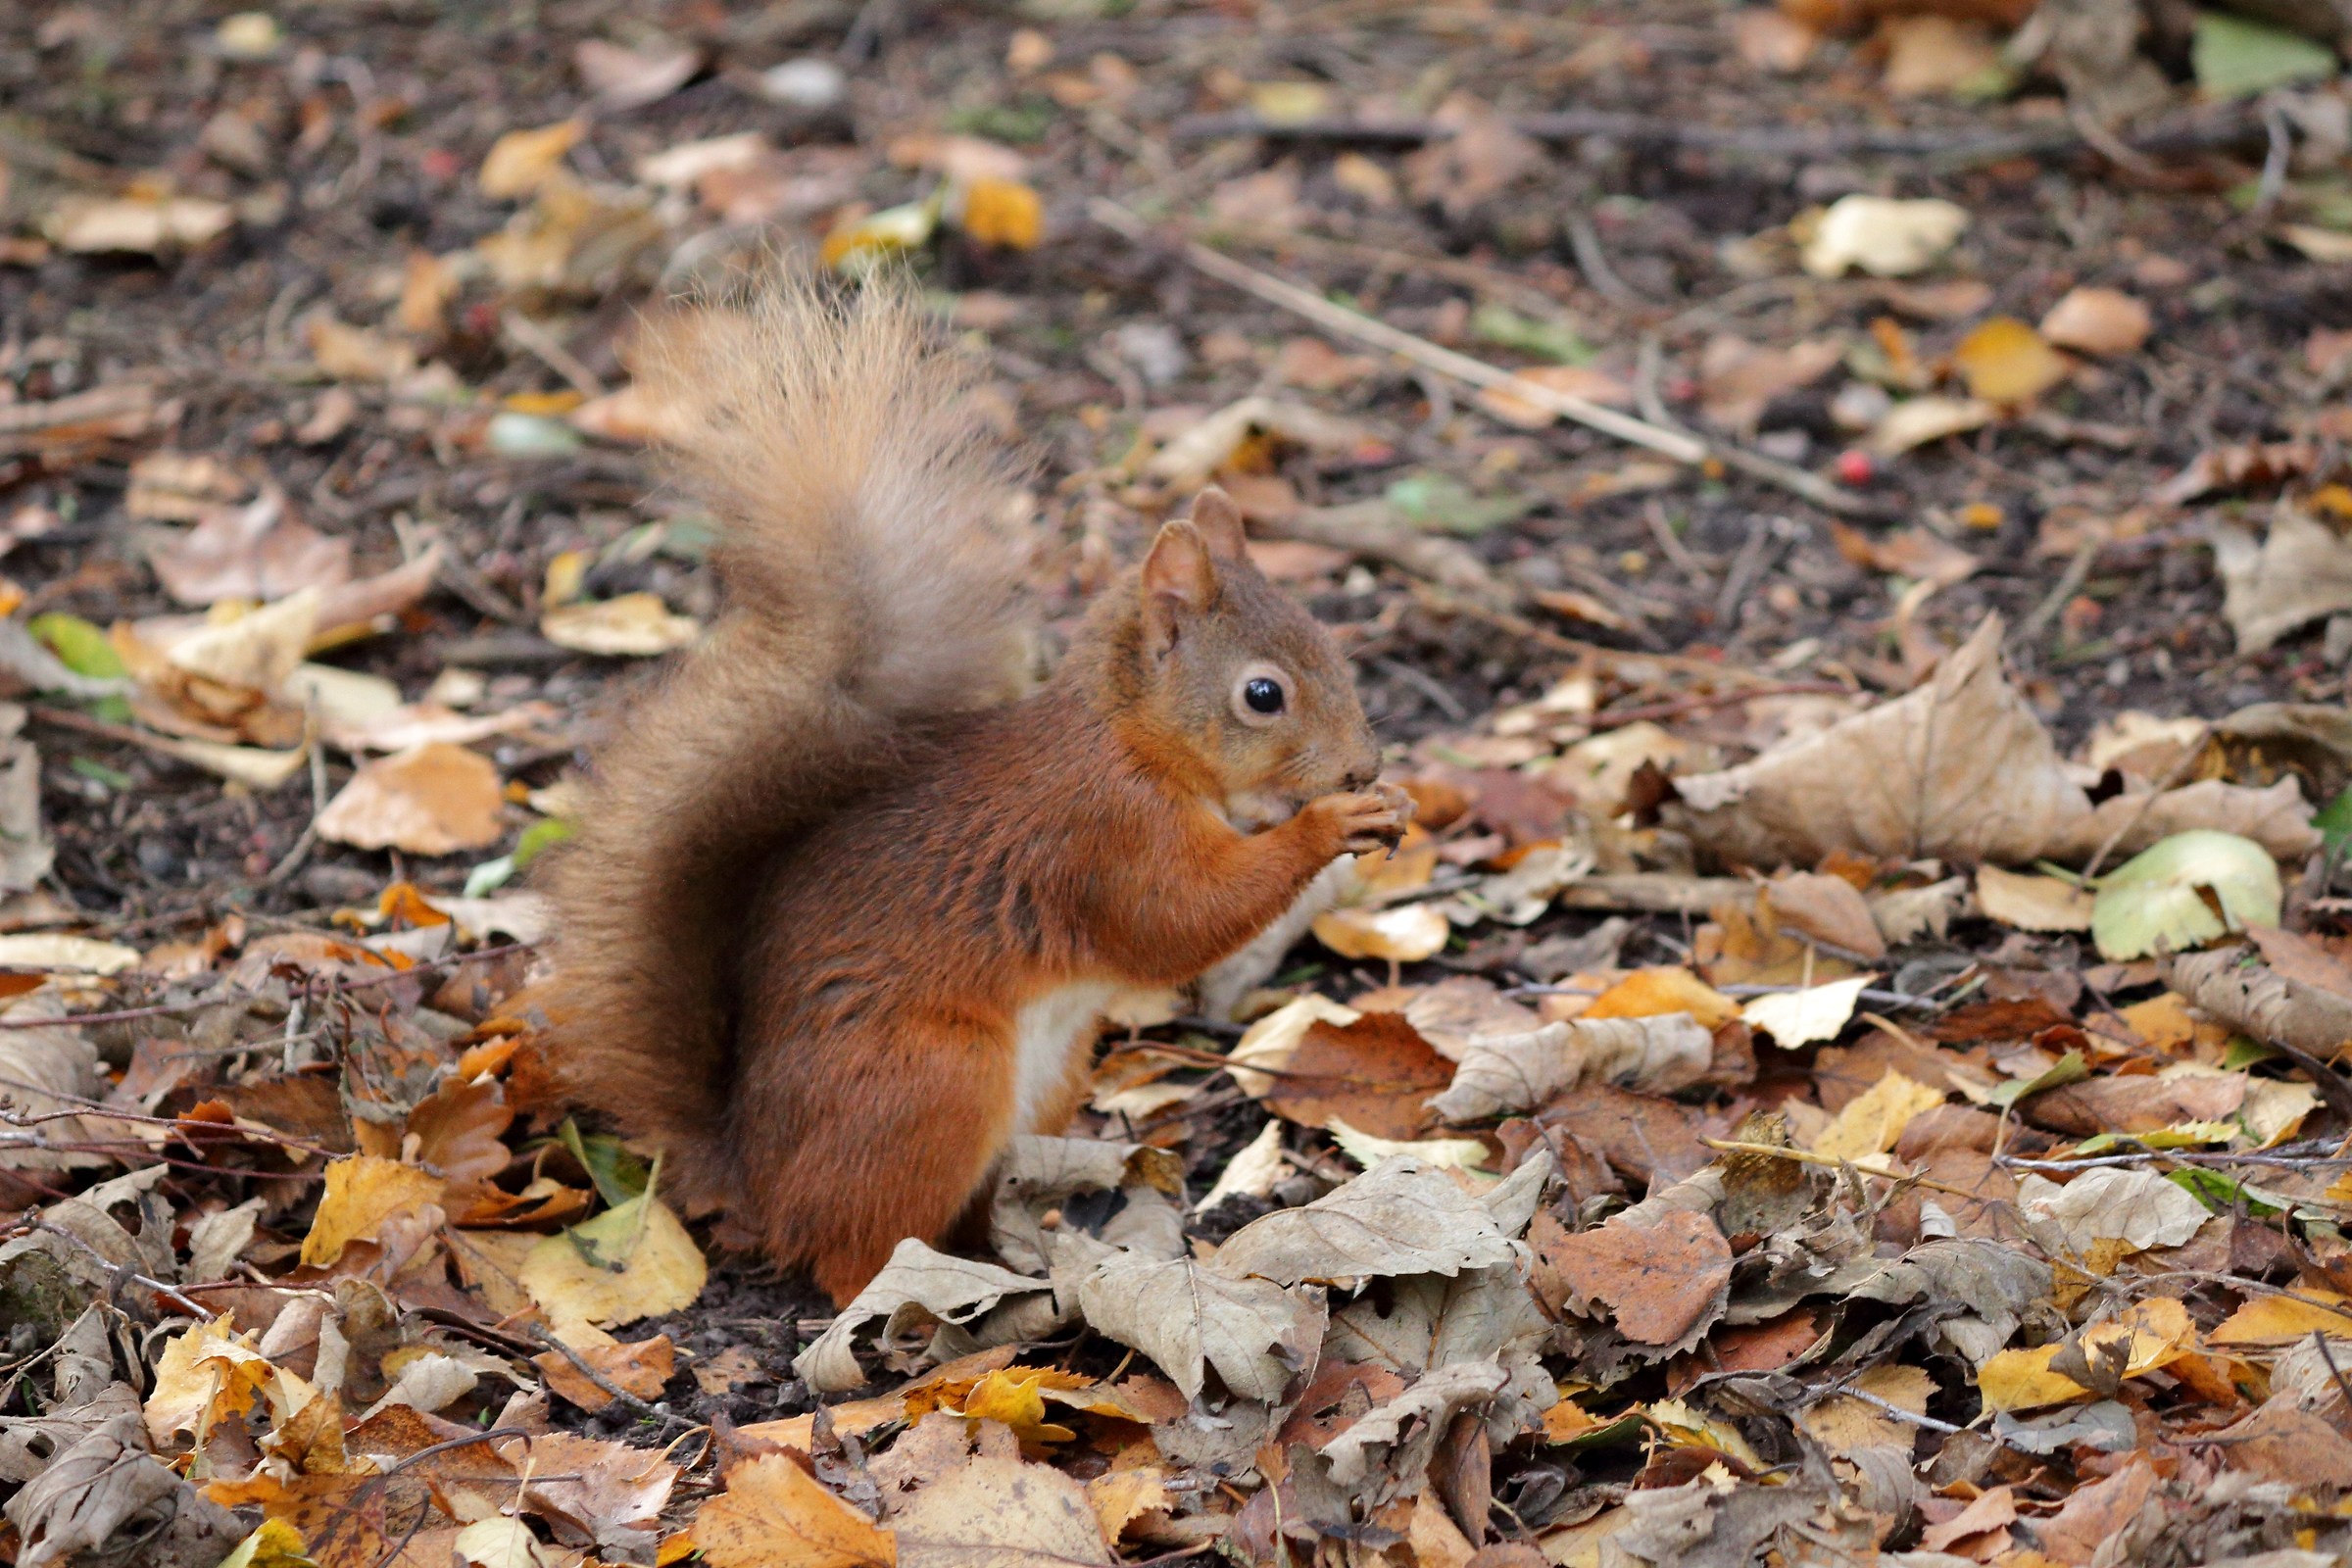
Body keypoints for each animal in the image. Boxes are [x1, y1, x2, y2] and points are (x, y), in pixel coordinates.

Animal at [545, 277, 1411, 1307]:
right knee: (852, 1255)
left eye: (1330, 642)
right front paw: (1330, 823)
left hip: (1050, 1074)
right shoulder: (1101, 833)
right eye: (1264, 694)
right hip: (934, 1080)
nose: (1361, 765)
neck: (1133, 739)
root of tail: (755, 1181)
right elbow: (1174, 921)